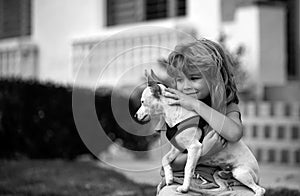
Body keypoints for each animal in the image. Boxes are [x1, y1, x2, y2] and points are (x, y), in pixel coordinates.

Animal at [135, 71, 264, 195]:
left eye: (142, 102)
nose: (135, 115)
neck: (174, 116)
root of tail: (258, 175)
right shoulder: (177, 148)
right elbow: (165, 159)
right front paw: (169, 177)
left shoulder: (194, 147)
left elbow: (188, 168)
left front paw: (184, 188)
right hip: (230, 174)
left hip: (241, 172)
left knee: (260, 189)